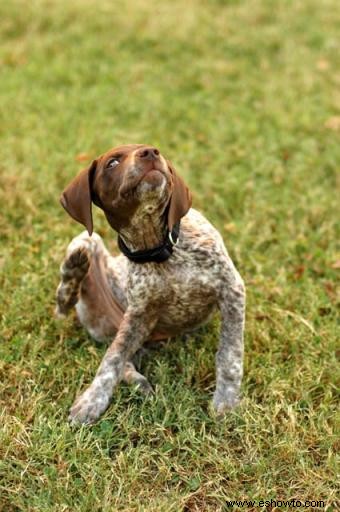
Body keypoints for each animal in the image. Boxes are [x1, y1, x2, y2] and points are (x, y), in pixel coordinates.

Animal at [57, 144, 246, 424]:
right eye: (112, 163)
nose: (150, 152)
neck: (160, 248)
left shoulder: (231, 290)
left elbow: (230, 354)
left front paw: (226, 402)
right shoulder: (139, 314)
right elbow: (111, 360)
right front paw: (92, 400)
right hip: (102, 313)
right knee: (77, 261)